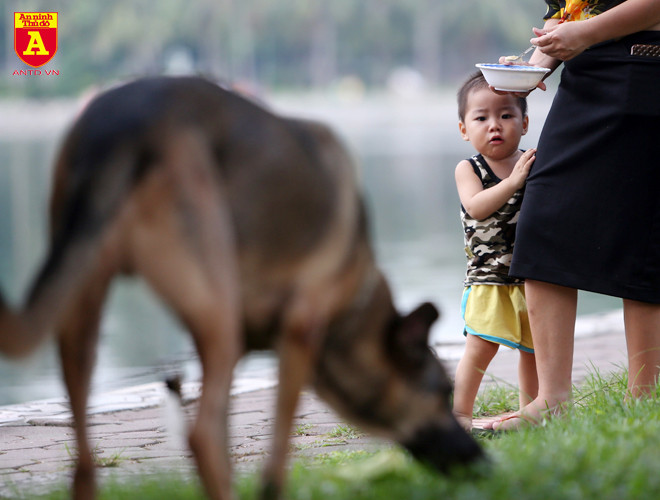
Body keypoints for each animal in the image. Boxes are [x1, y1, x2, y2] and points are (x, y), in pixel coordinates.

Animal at [0, 76, 481, 499]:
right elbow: (276, 460)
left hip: (80, 309)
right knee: (202, 436)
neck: (355, 298)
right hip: (217, 320)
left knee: (84, 464)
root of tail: (127, 120)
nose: (484, 462)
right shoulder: (299, 335)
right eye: (442, 392)